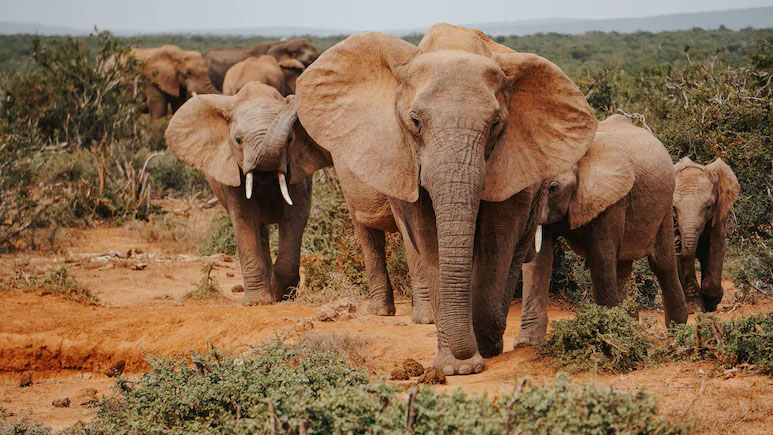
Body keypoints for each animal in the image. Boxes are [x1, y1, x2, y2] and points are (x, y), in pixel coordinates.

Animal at [165, 82, 330, 304]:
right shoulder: (232, 171)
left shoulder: (297, 169)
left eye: (290, 139)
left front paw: (282, 296)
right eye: (238, 140)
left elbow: (295, 215)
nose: (291, 99)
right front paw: (257, 302)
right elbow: (244, 217)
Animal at [295, 23, 596, 375]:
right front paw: (455, 366)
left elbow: (498, 236)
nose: (471, 356)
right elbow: (428, 239)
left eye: (495, 125)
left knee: (517, 248)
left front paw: (480, 349)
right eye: (415, 122)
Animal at [516, 115, 690, 347]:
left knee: (662, 264)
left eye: (553, 188)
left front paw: (605, 337)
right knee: (623, 267)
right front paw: (526, 343)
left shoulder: (611, 198)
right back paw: (630, 327)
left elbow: (600, 257)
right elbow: (538, 261)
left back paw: (677, 331)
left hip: (664, 204)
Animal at [673, 157, 740, 312]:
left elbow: (717, 247)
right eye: (674, 208)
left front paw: (712, 303)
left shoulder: (718, 215)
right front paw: (695, 308)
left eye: (708, 206)